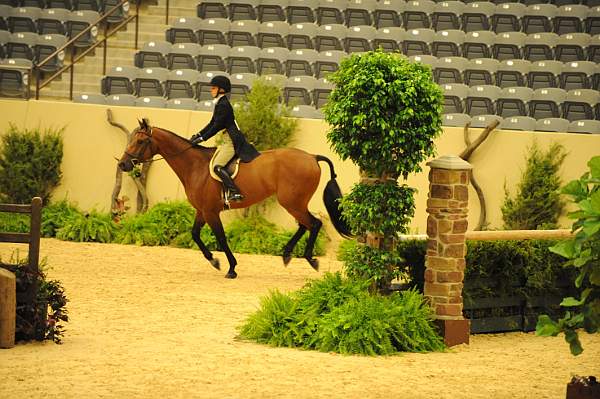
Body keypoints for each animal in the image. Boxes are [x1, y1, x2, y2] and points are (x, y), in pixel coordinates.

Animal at [118, 120, 352, 280]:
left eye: (140, 141)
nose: (123, 165)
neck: (195, 166)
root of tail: (312, 157)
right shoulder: (202, 211)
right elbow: (195, 235)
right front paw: (214, 260)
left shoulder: (211, 212)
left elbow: (221, 238)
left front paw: (230, 267)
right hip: (293, 202)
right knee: (305, 225)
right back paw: (287, 254)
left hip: (292, 202)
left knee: (314, 223)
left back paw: (310, 258)